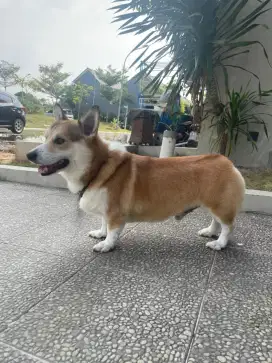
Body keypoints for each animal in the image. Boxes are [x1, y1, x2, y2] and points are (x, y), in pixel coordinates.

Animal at [26, 104, 245, 253]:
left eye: (59, 141)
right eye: (45, 138)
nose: (29, 155)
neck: (99, 167)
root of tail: (227, 162)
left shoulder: (115, 213)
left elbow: (112, 230)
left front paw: (105, 244)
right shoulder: (106, 210)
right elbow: (104, 224)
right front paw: (100, 233)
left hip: (219, 205)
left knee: (228, 226)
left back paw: (219, 243)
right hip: (213, 204)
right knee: (216, 222)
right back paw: (210, 232)